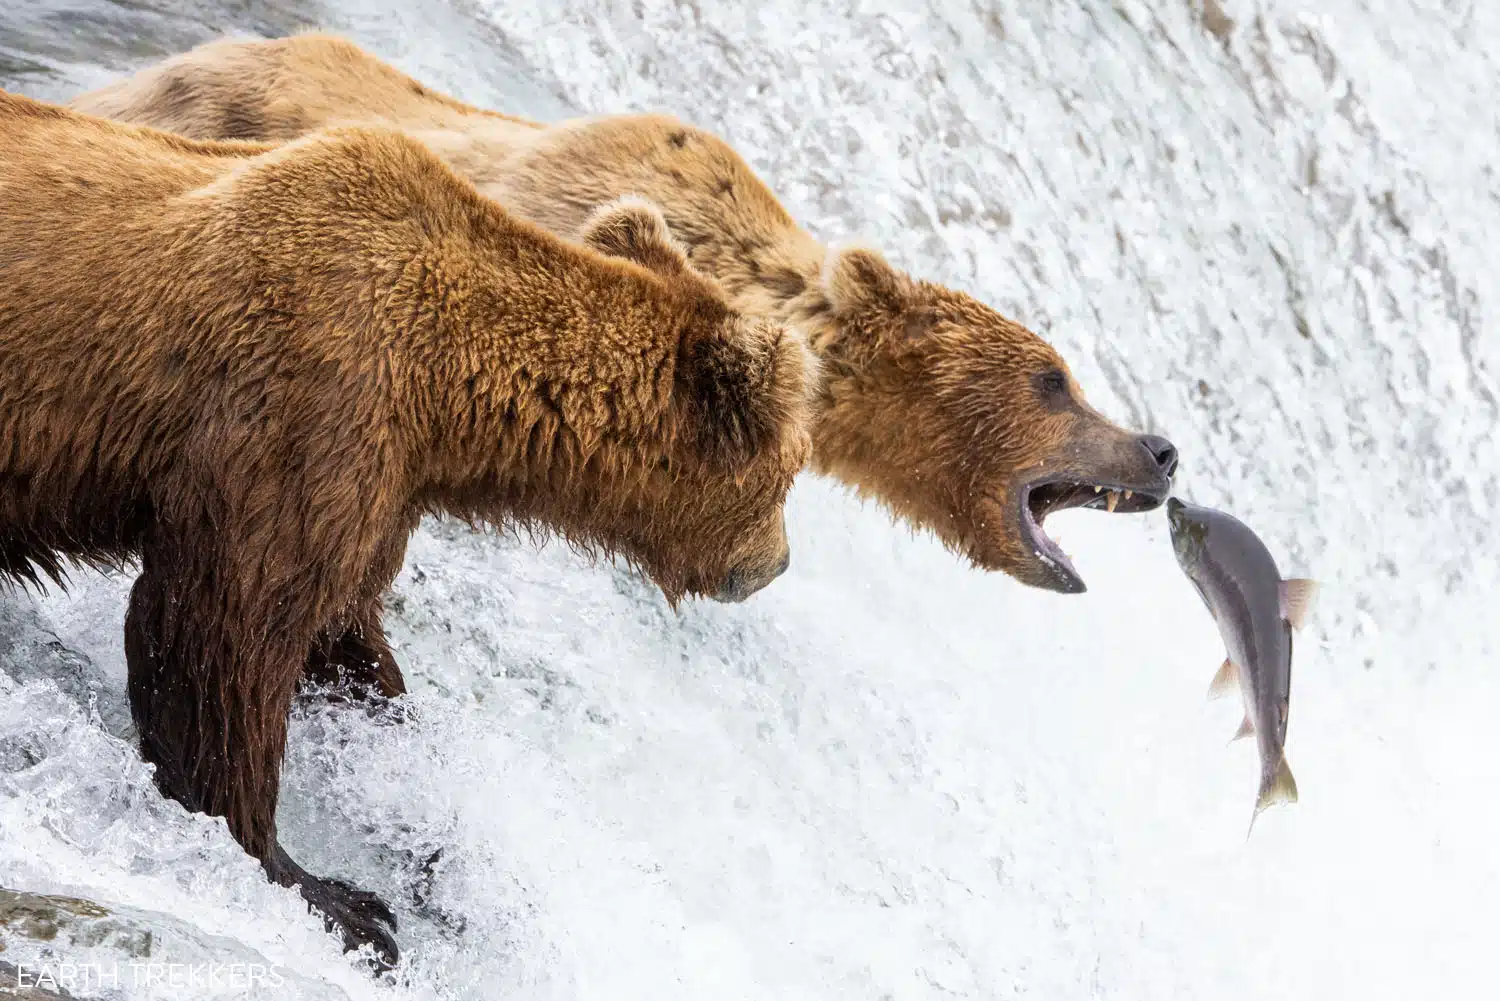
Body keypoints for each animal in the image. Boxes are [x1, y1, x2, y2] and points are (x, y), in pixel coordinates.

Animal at [0, 90, 810, 966]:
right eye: (790, 472)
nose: (775, 563)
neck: (447, 390)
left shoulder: (376, 488)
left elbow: (343, 641)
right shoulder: (304, 413)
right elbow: (220, 635)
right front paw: (335, 893)